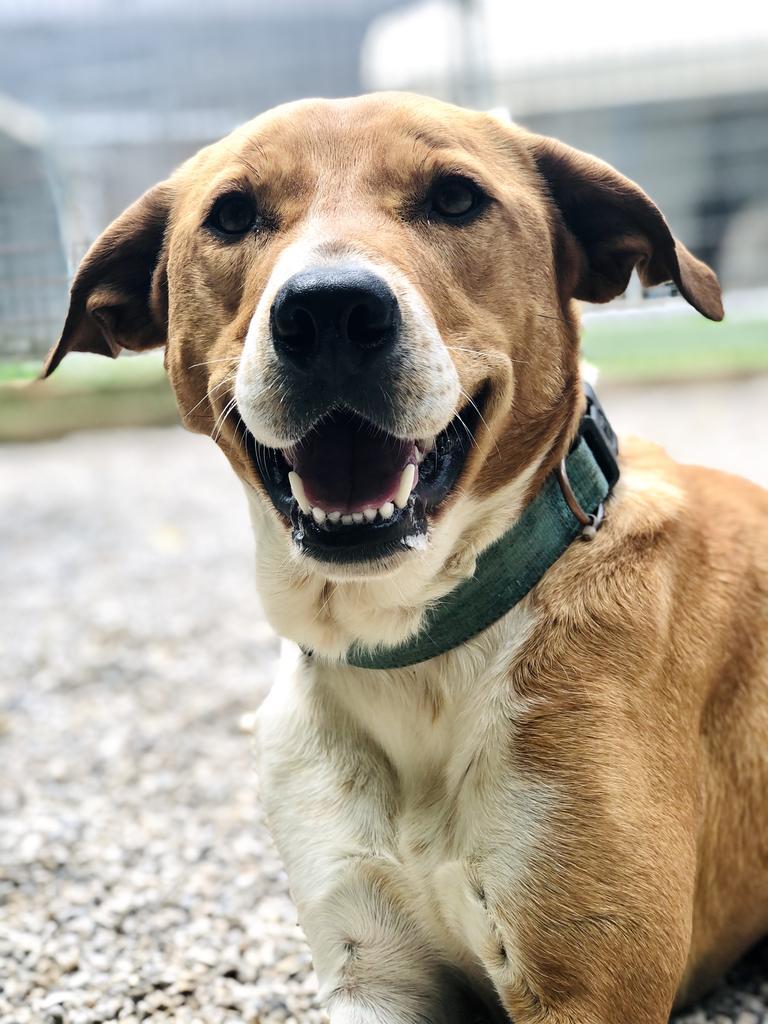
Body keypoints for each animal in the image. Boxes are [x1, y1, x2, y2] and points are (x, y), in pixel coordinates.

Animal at [43, 96, 768, 1024]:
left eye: (456, 199)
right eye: (233, 215)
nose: (329, 313)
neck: (407, 648)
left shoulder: (587, 985)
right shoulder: (369, 968)